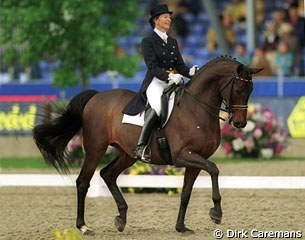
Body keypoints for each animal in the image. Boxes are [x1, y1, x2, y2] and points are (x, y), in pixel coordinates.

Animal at [32, 55, 262, 234]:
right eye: (239, 88)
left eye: (251, 89)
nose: (240, 123)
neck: (196, 108)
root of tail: (96, 97)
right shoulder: (183, 155)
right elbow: (214, 169)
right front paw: (216, 213)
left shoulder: (196, 159)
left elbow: (187, 192)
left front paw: (181, 227)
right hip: (95, 148)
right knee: (83, 182)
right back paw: (83, 226)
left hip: (127, 154)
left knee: (108, 174)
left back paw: (121, 218)